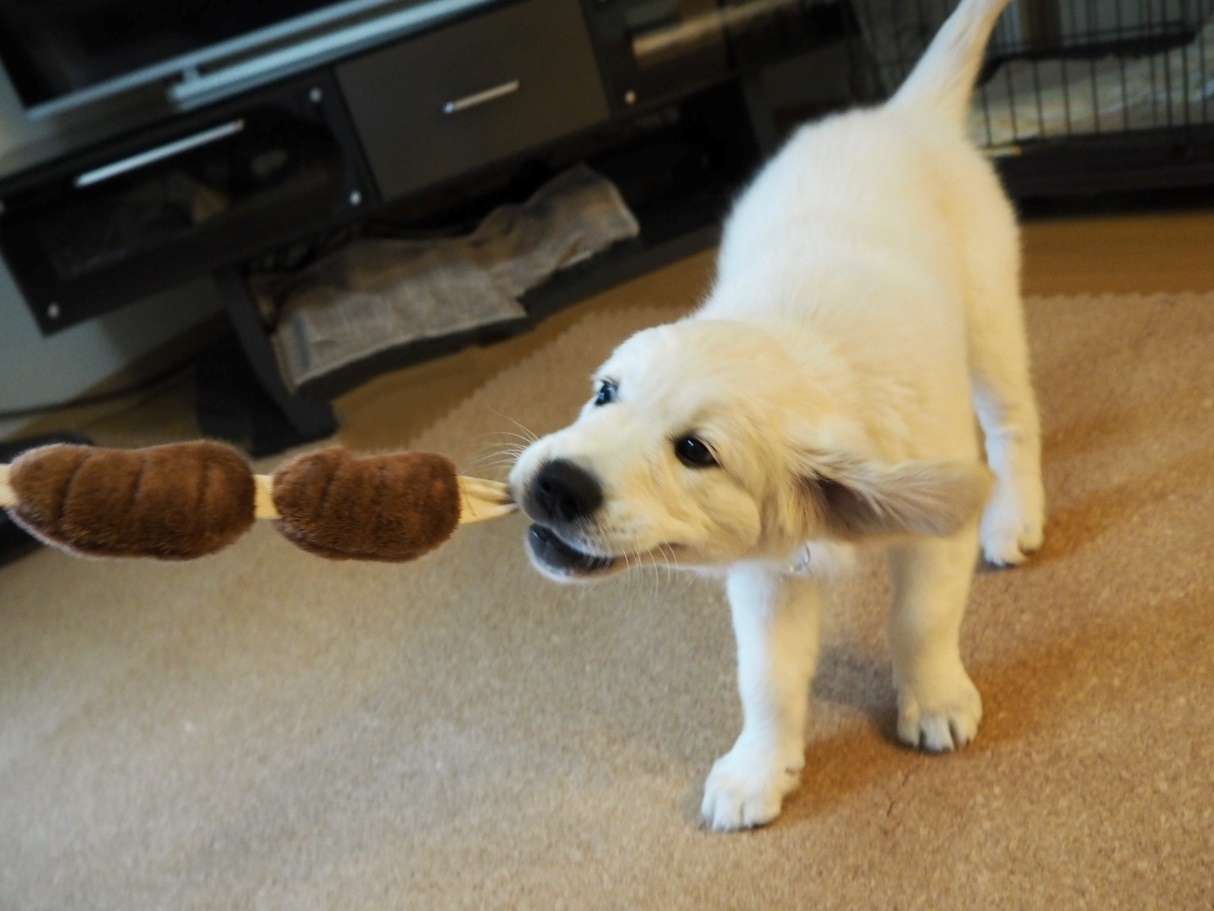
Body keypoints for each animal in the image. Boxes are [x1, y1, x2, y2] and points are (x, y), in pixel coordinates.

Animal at [507, 0, 1048, 835]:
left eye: (696, 451)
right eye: (604, 392)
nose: (556, 482)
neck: (806, 352)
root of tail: (901, 113)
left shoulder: (936, 521)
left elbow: (919, 619)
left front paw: (934, 699)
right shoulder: (766, 569)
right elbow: (764, 674)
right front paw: (759, 766)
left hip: (989, 315)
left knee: (1015, 421)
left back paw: (1016, 516)